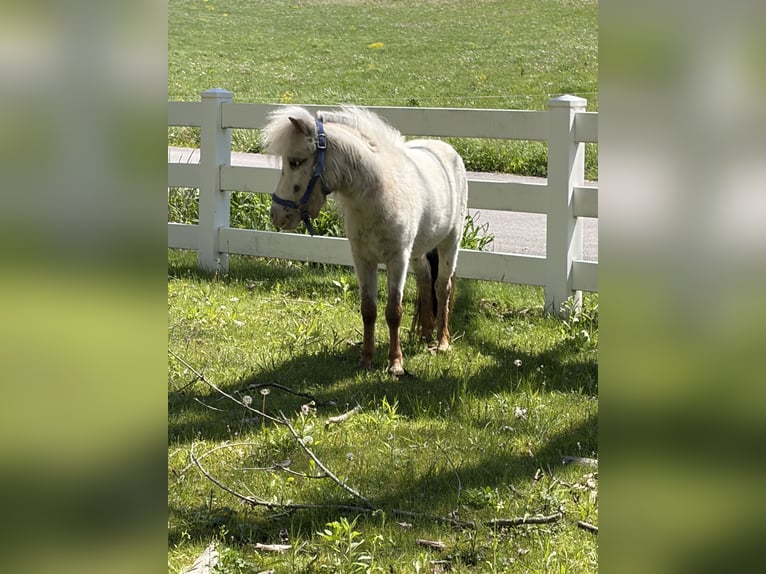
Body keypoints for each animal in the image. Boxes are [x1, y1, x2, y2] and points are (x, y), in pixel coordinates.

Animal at [263, 105, 468, 376]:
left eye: (296, 161)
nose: (277, 214)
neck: (376, 195)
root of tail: (447, 150)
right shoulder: (363, 260)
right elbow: (368, 310)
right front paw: (366, 359)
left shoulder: (397, 260)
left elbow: (393, 312)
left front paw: (395, 364)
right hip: (417, 252)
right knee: (425, 281)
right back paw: (425, 335)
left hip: (450, 242)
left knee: (442, 287)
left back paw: (442, 342)